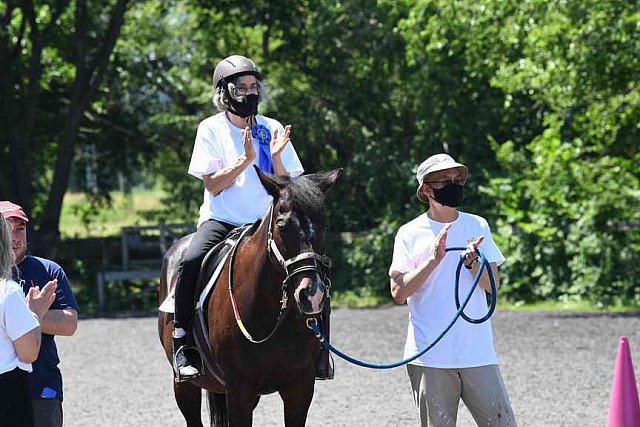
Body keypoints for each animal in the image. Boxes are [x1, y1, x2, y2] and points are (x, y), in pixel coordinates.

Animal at [158, 168, 342, 427]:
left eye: (324, 225)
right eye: (282, 225)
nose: (312, 294)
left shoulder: (300, 389)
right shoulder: (239, 391)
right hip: (184, 386)